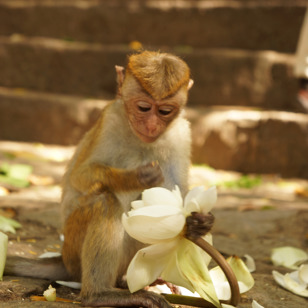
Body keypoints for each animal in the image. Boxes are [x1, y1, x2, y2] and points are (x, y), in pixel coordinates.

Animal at [3, 51, 214, 308]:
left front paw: (199, 223)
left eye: (165, 111)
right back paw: (100, 293)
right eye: (143, 107)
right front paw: (136, 177)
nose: (152, 125)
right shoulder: (109, 119)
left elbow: (178, 190)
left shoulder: (181, 132)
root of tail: (64, 258)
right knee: (106, 203)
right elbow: (81, 175)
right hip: (74, 246)